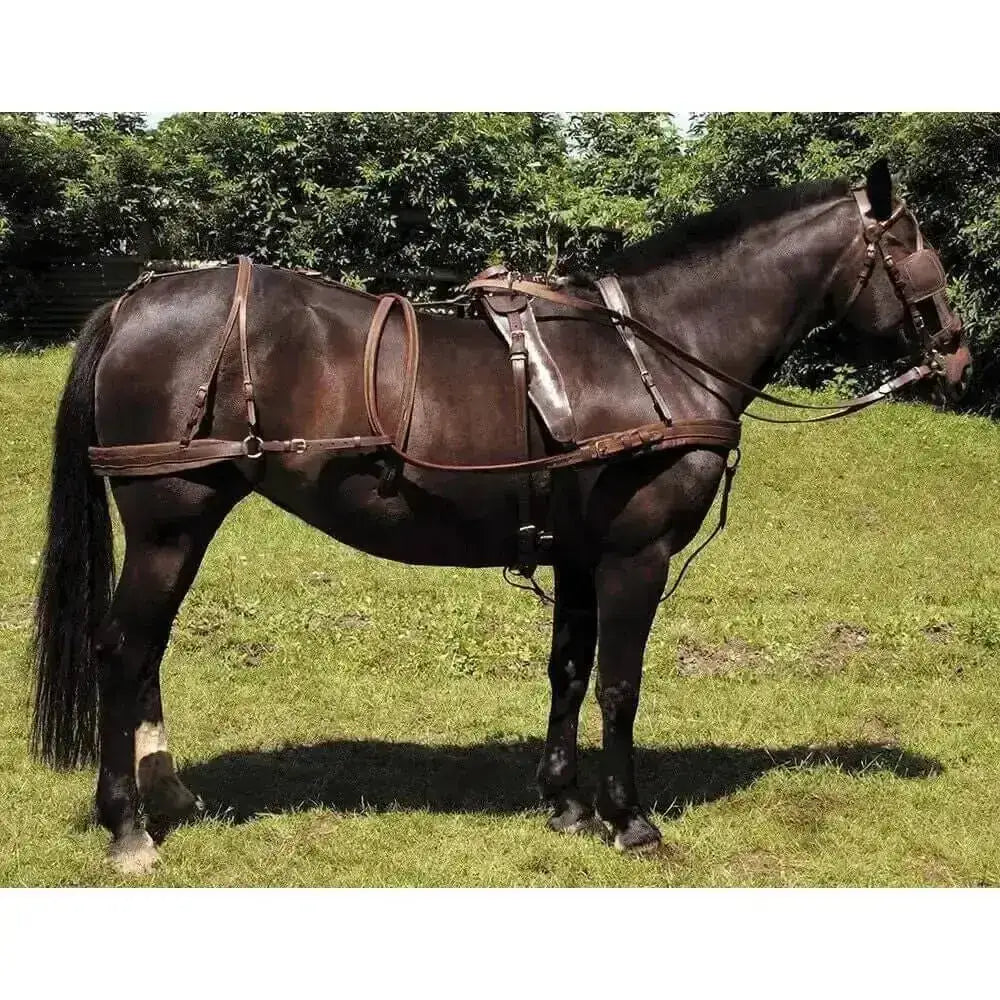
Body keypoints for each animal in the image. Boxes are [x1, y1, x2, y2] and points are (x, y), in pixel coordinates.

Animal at [30, 158, 972, 874]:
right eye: (912, 250)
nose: (958, 354)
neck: (653, 350)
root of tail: (131, 303)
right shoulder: (635, 556)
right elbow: (620, 684)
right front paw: (630, 819)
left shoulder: (580, 555)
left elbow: (569, 673)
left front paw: (566, 803)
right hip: (170, 522)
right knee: (123, 650)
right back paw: (129, 826)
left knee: (147, 651)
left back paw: (169, 792)